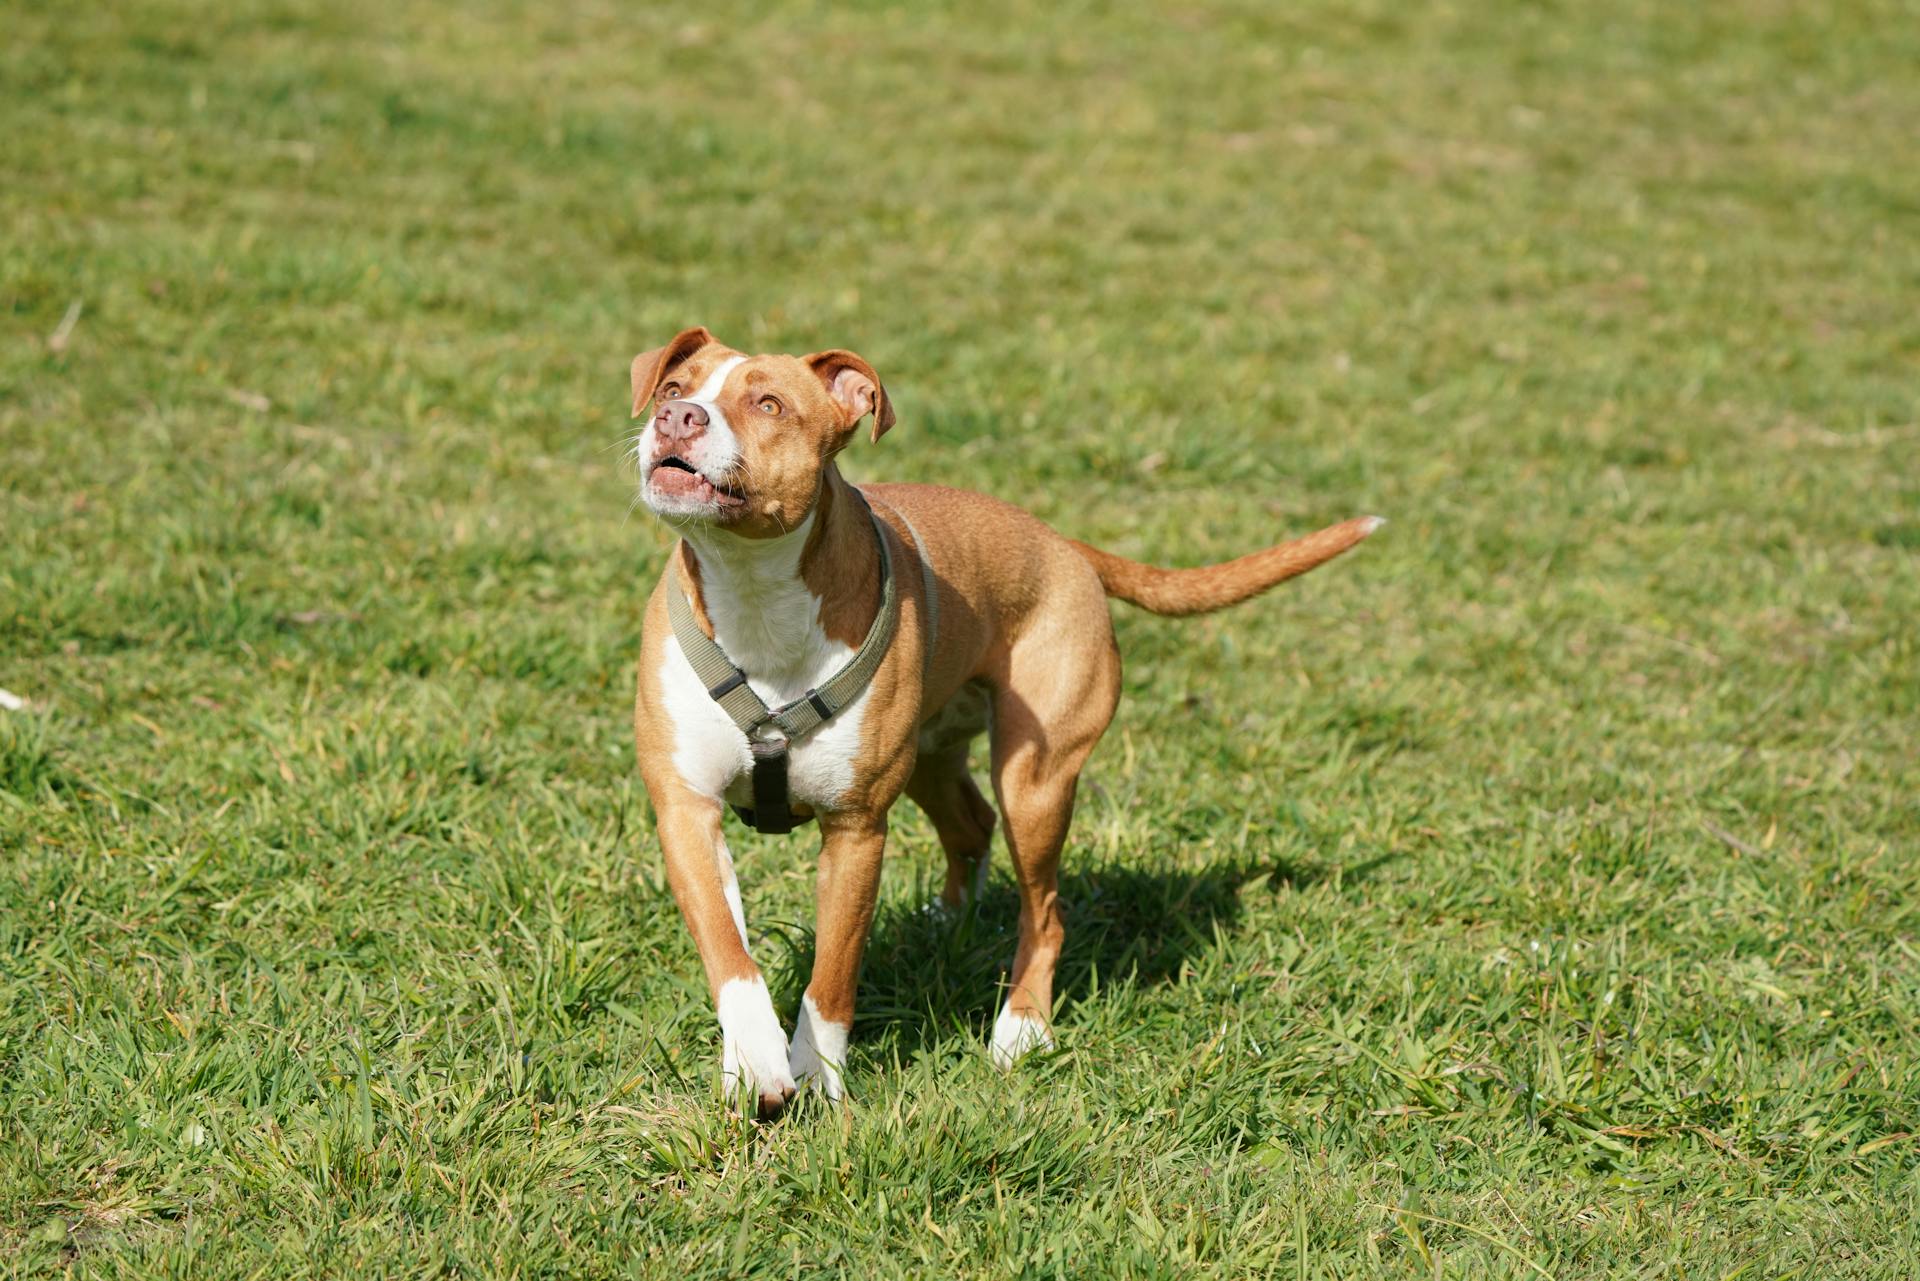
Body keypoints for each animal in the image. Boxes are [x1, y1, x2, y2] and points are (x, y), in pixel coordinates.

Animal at [629, 328, 1382, 1113]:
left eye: (769, 403)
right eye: (673, 387)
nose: (677, 418)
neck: (753, 592)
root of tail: (1068, 547)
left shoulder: (856, 829)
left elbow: (832, 978)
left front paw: (818, 1076)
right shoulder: (686, 810)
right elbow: (729, 951)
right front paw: (755, 1062)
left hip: (1035, 780)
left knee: (1043, 909)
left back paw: (1021, 1028)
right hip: (933, 755)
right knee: (970, 824)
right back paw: (947, 922)